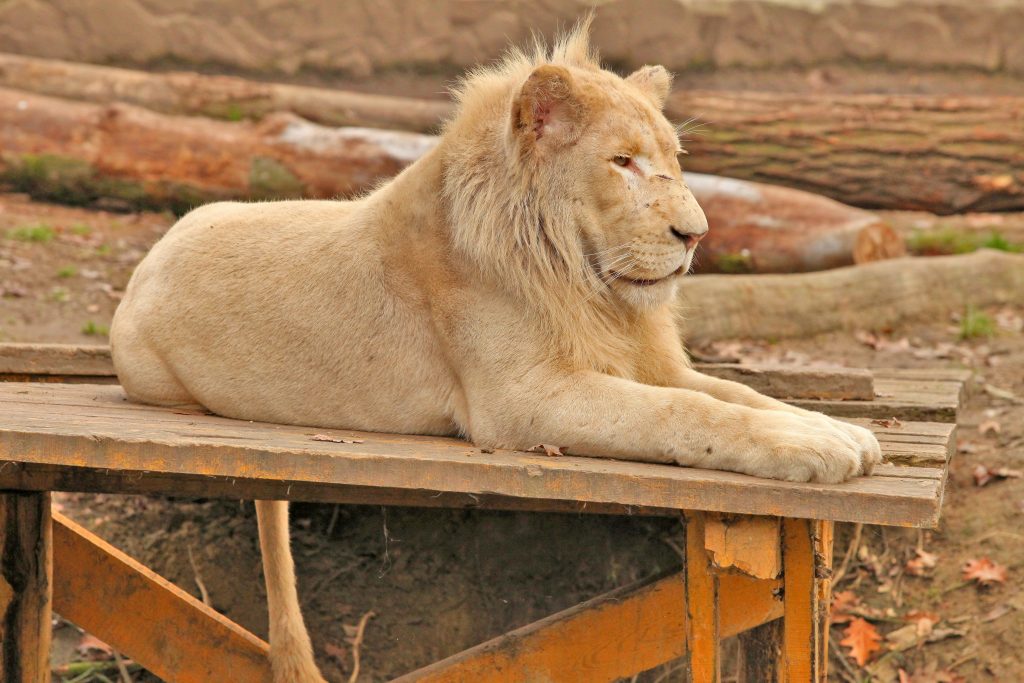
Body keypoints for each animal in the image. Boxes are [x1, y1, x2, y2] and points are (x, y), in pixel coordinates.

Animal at [110, 20, 880, 683]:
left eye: (673, 163)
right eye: (622, 162)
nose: (696, 235)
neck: (589, 286)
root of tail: (151, 253)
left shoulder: (650, 362)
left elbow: (738, 394)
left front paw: (838, 429)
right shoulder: (520, 401)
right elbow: (684, 414)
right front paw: (812, 446)